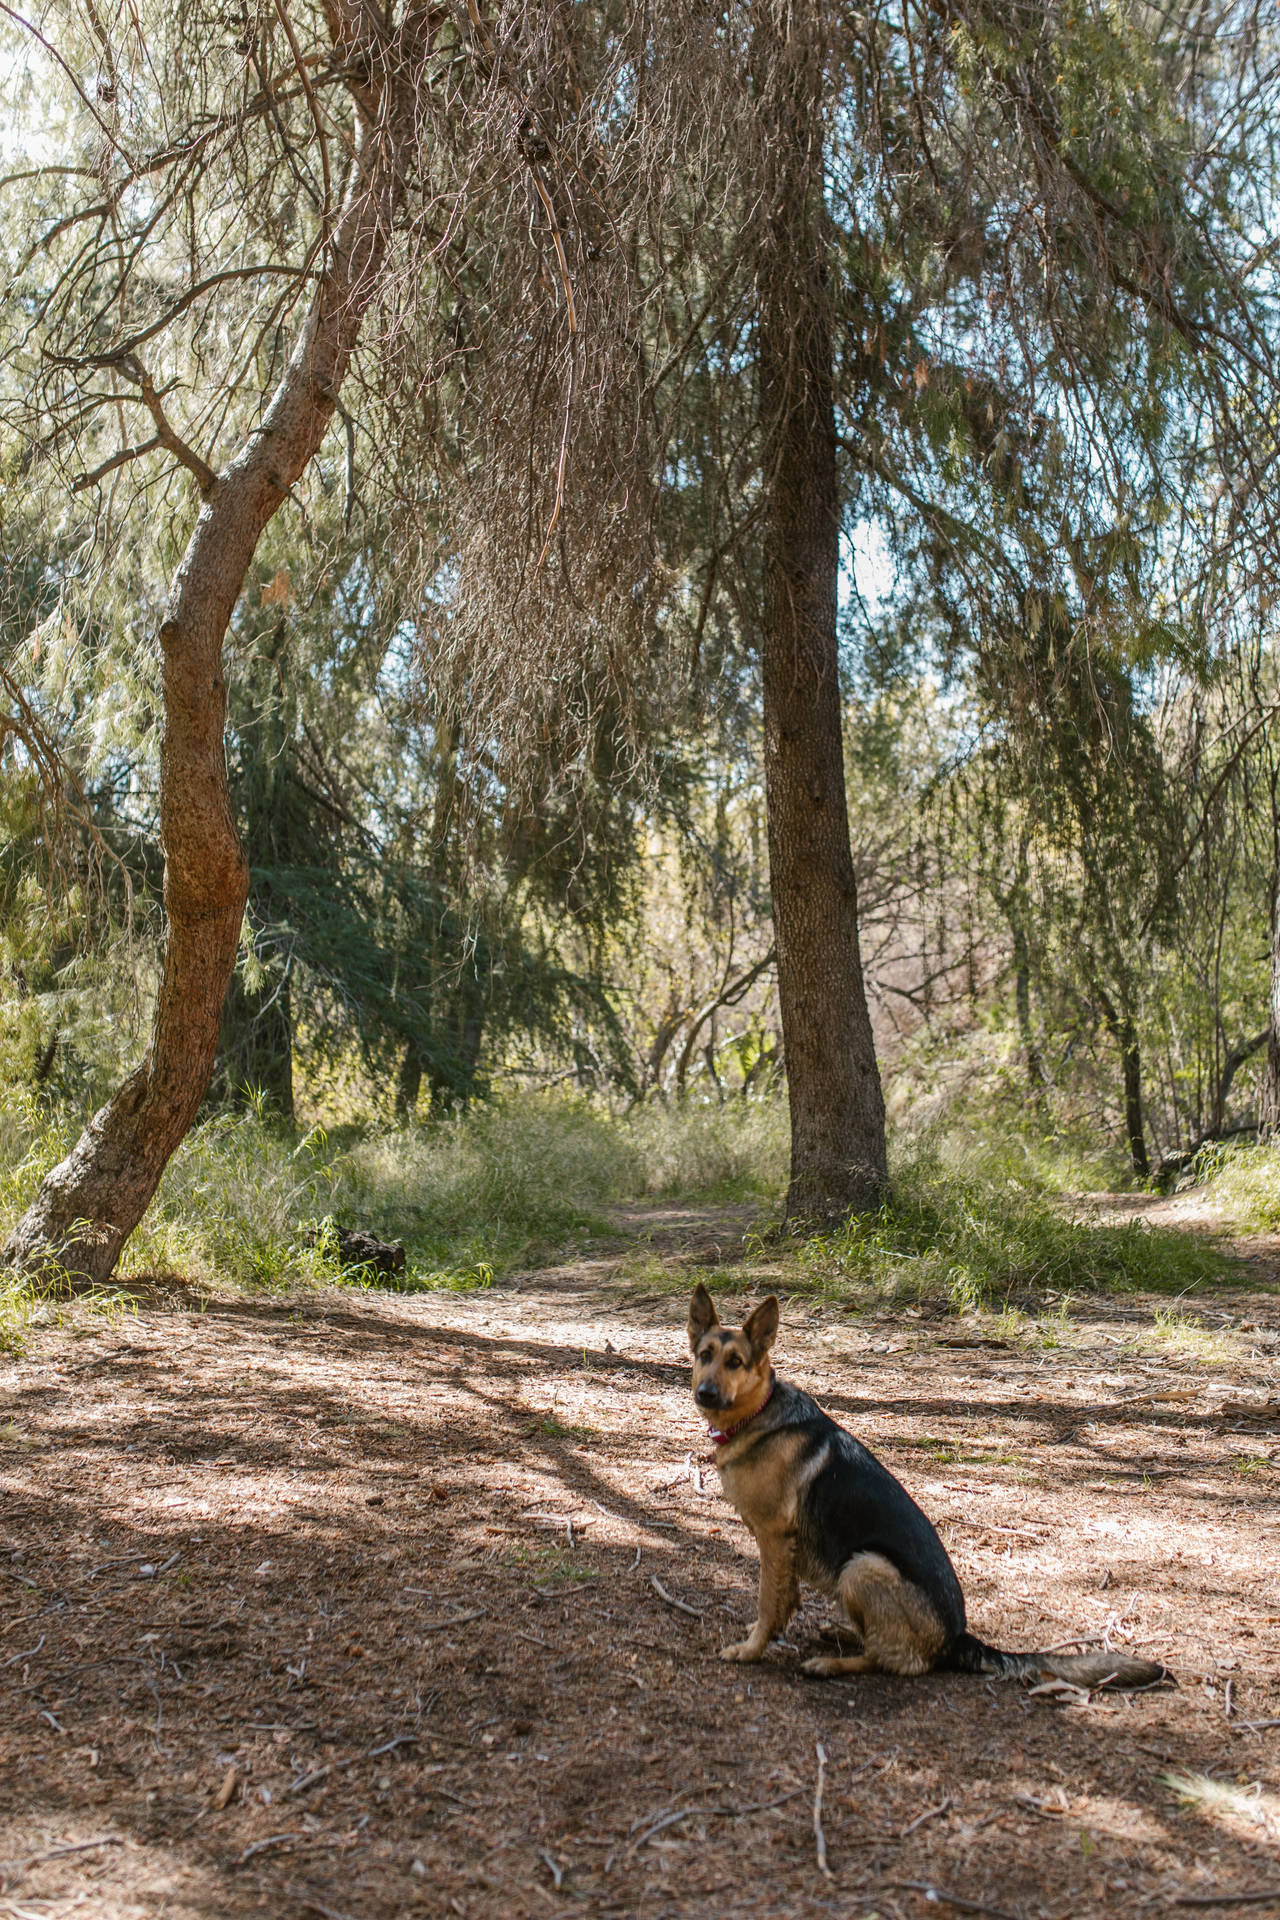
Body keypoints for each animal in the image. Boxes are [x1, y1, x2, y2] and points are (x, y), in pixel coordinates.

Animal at [690, 1282, 1174, 1689]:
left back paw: (832, 1663)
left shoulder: (774, 1537)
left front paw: (752, 1650)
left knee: (902, 1662)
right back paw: (840, 1633)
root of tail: (957, 1638)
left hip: (863, 1566)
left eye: (735, 1362)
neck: (759, 1414)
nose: (705, 1393)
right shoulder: (781, 1547)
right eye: (704, 1355)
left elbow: (767, 1602)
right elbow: (783, 1600)